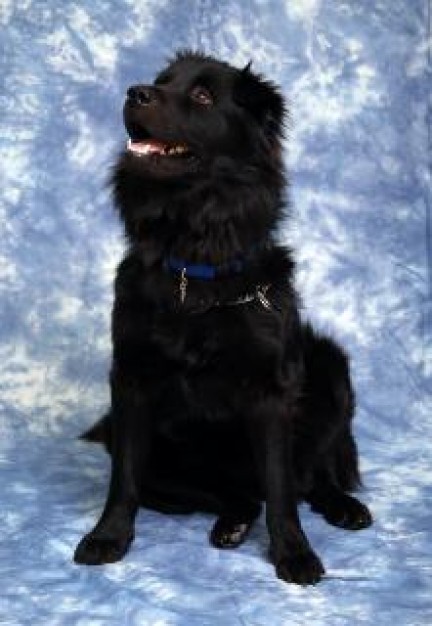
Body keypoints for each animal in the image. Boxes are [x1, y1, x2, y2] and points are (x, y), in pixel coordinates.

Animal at [74, 51, 372, 584]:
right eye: (162, 81)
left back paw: (343, 506)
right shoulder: (129, 381)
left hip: (330, 367)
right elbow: (123, 479)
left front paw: (294, 552)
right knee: (235, 495)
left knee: (308, 477)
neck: (194, 253)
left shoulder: (271, 392)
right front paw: (108, 536)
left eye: (202, 96)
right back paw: (231, 523)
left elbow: (280, 487)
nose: (134, 92)